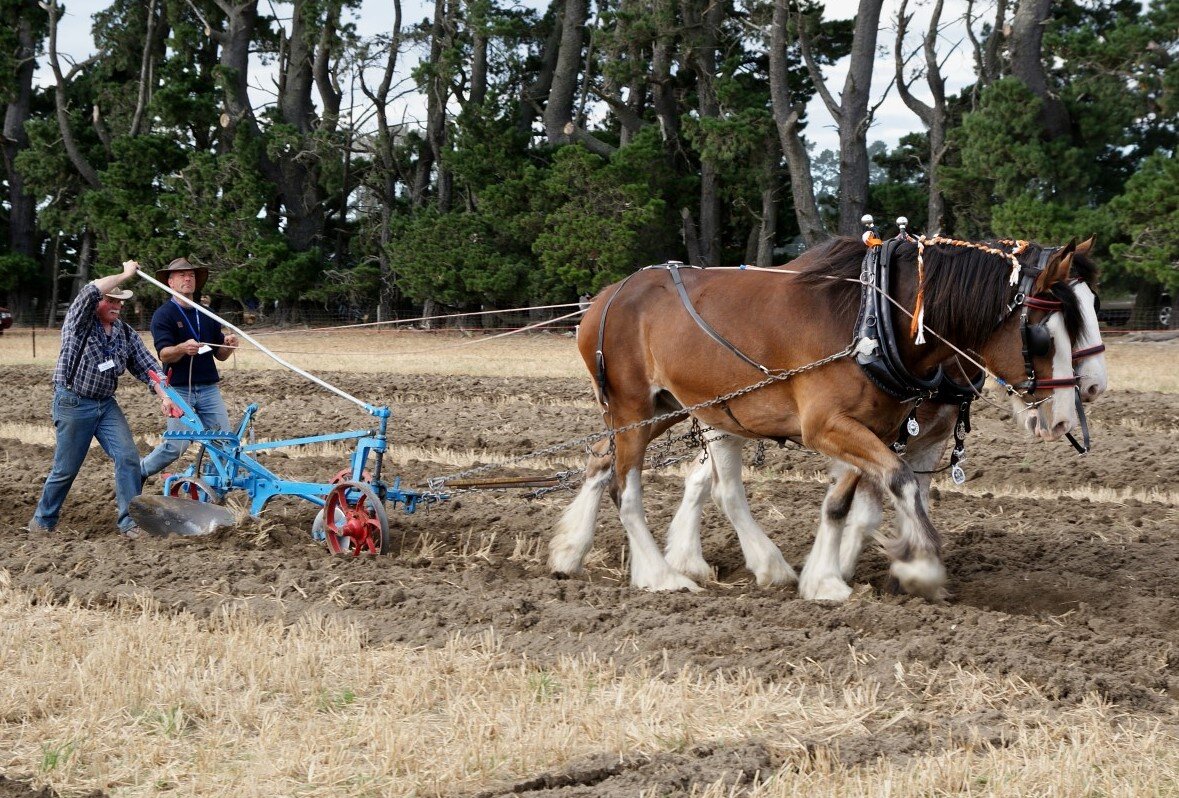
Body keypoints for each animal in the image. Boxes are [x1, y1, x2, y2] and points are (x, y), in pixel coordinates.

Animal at [551, 233, 1079, 594]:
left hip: (667, 408)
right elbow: (901, 481)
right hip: (631, 406)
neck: (874, 317)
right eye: (1042, 337)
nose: (1065, 417)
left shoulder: (872, 427)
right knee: (626, 489)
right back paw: (661, 575)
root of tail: (605, 297)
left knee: (601, 458)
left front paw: (826, 578)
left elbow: (847, 501)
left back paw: (570, 551)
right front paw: (921, 566)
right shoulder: (827, 426)